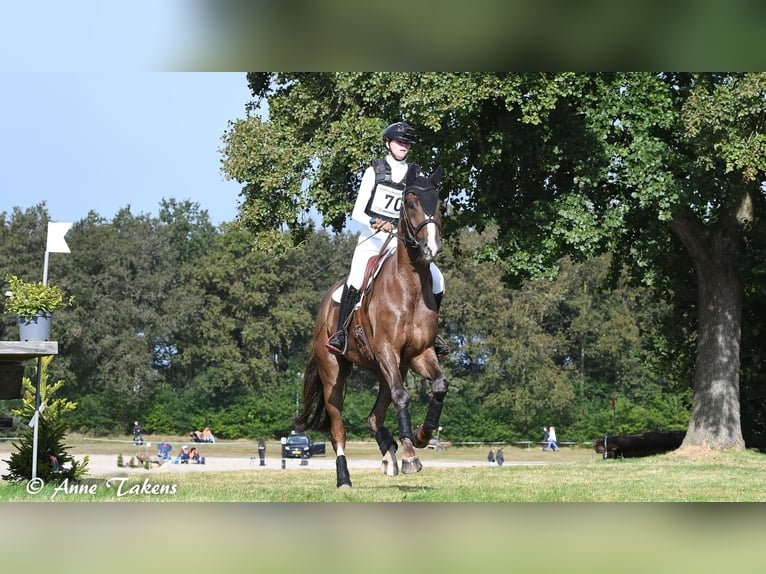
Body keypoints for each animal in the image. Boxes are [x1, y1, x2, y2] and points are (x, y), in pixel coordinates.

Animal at [294, 164, 450, 488]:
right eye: (410, 203)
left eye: (440, 204)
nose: (432, 248)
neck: (409, 285)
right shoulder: (387, 351)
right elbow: (402, 396)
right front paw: (410, 456)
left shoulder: (419, 354)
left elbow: (439, 385)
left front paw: (421, 435)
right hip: (334, 371)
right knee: (338, 428)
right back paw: (344, 478)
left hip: (385, 369)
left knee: (374, 416)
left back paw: (389, 453)